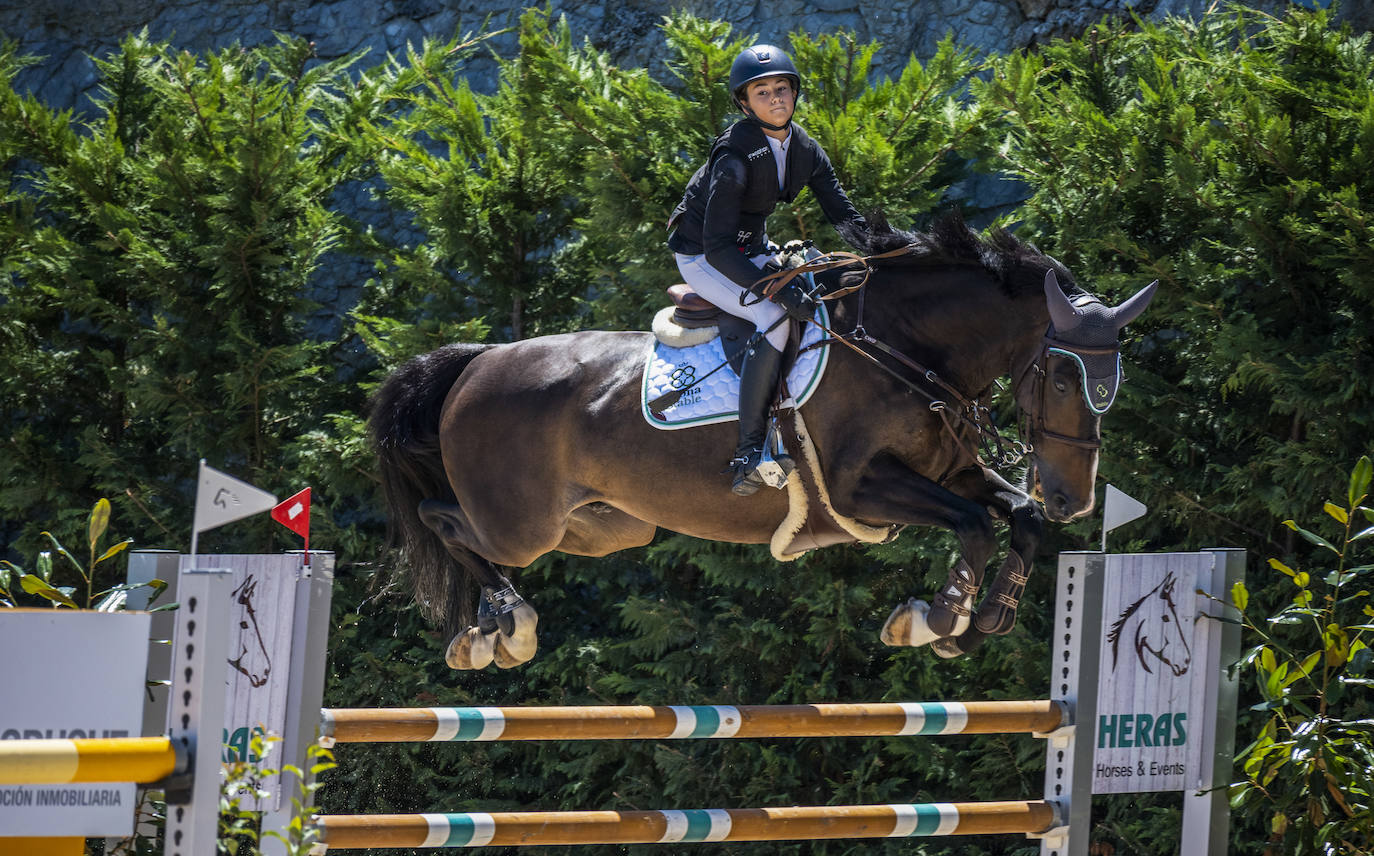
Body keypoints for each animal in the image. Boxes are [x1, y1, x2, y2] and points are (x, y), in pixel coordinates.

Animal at [370, 214, 1154, 670]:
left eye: (1113, 380)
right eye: (1063, 377)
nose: (1077, 501)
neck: (904, 347)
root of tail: (477, 361)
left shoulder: (951, 473)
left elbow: (1016, 517)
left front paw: (977, 621)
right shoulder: (861, 489)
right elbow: (975, 526)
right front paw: (936, 618)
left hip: (601, 529)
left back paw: (491, 628)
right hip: (522, 526)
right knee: (446, 522)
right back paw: (503, 626)